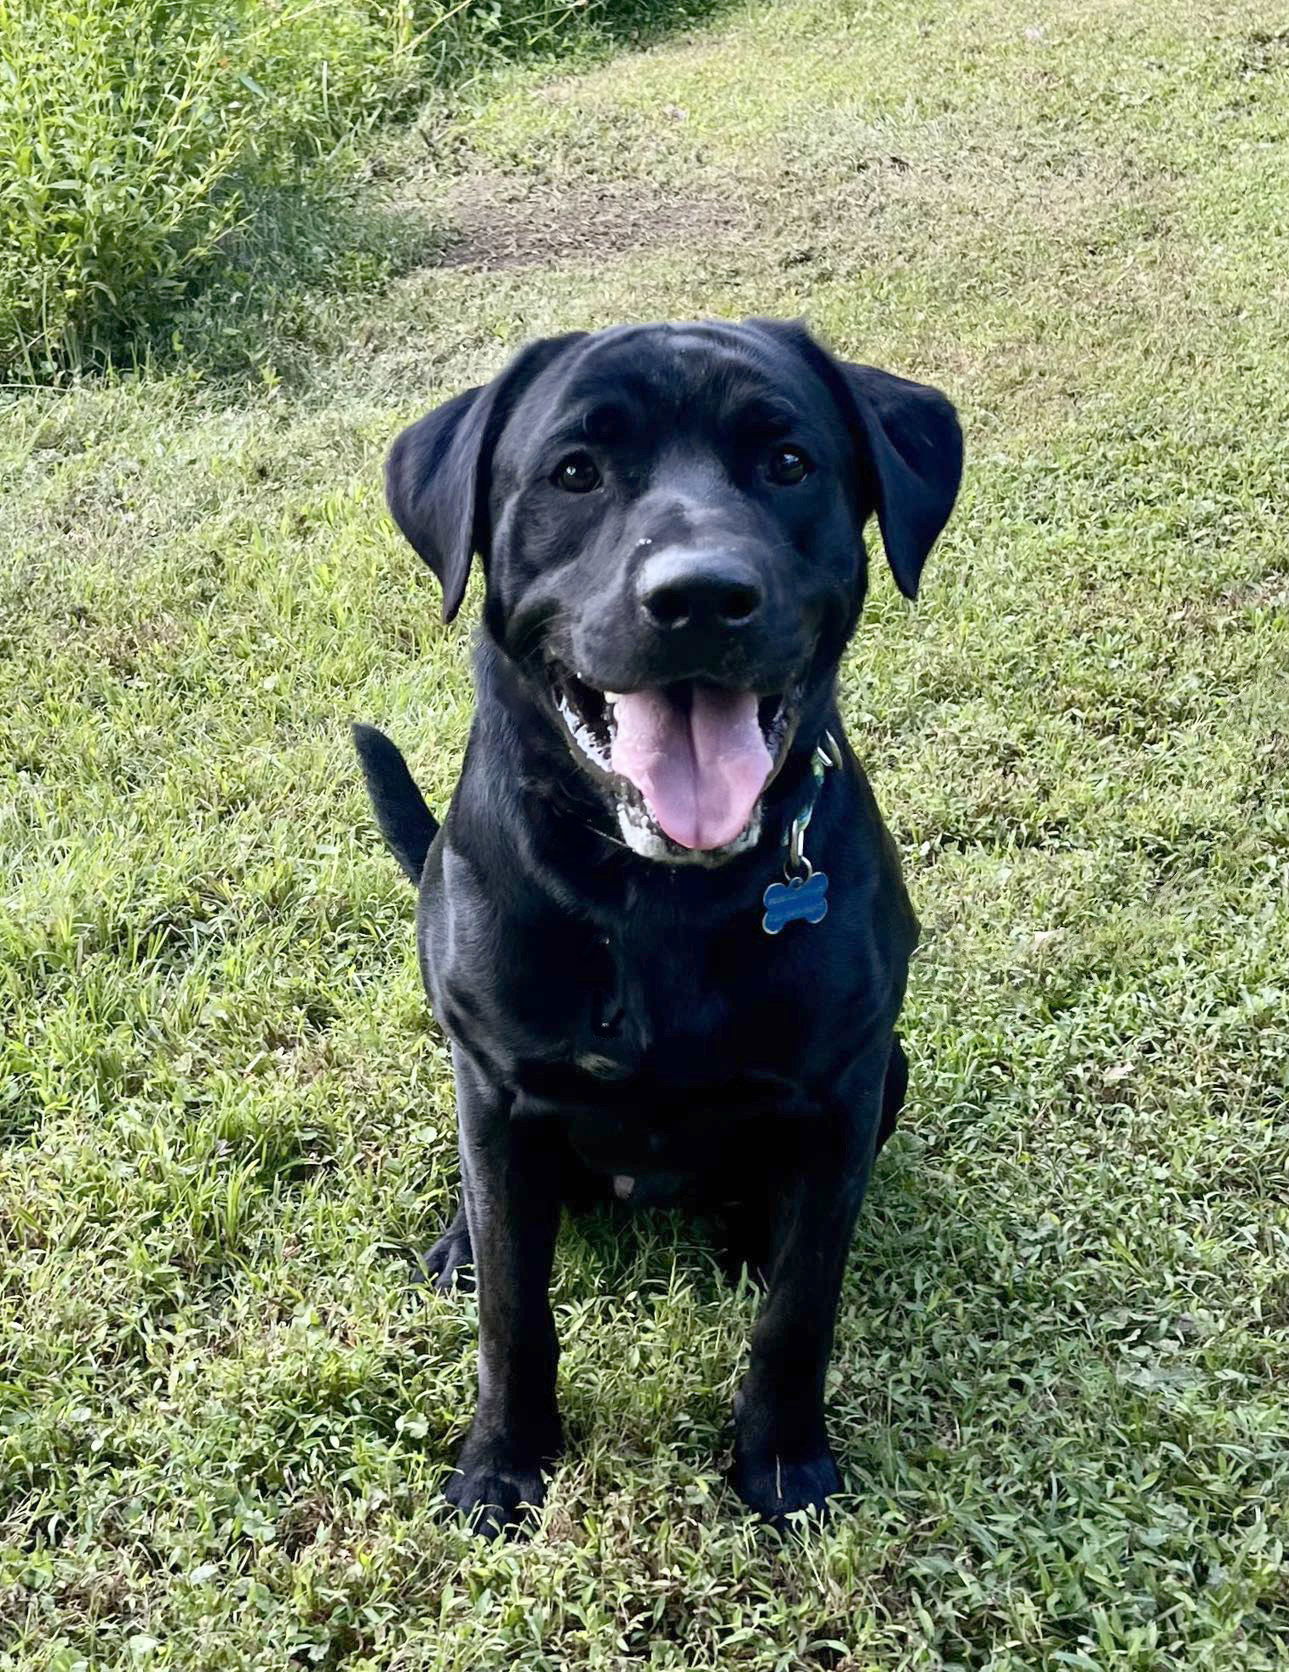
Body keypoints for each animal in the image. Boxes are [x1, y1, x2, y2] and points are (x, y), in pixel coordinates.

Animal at [352, 319, 956, 1531]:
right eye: (575, 472)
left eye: (786, 462)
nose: (702, 596)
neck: (661, 892)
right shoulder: (499, 1089)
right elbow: (513, 1312)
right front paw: (502, 1462)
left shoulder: (840, 1093)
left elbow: (798, 1312)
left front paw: (783, 1463)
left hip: (892, 1070)